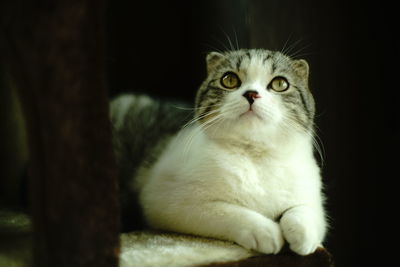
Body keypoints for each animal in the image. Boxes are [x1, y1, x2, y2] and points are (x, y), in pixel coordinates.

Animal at [110, 49, 328, 256]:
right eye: (229, 80)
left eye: (280, 83)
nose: (251, 94)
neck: (254, 156)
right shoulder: (167, 200)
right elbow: (228, 211)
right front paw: (266, 231)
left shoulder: (312, 199)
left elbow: (304, 213)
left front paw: (303, 237)